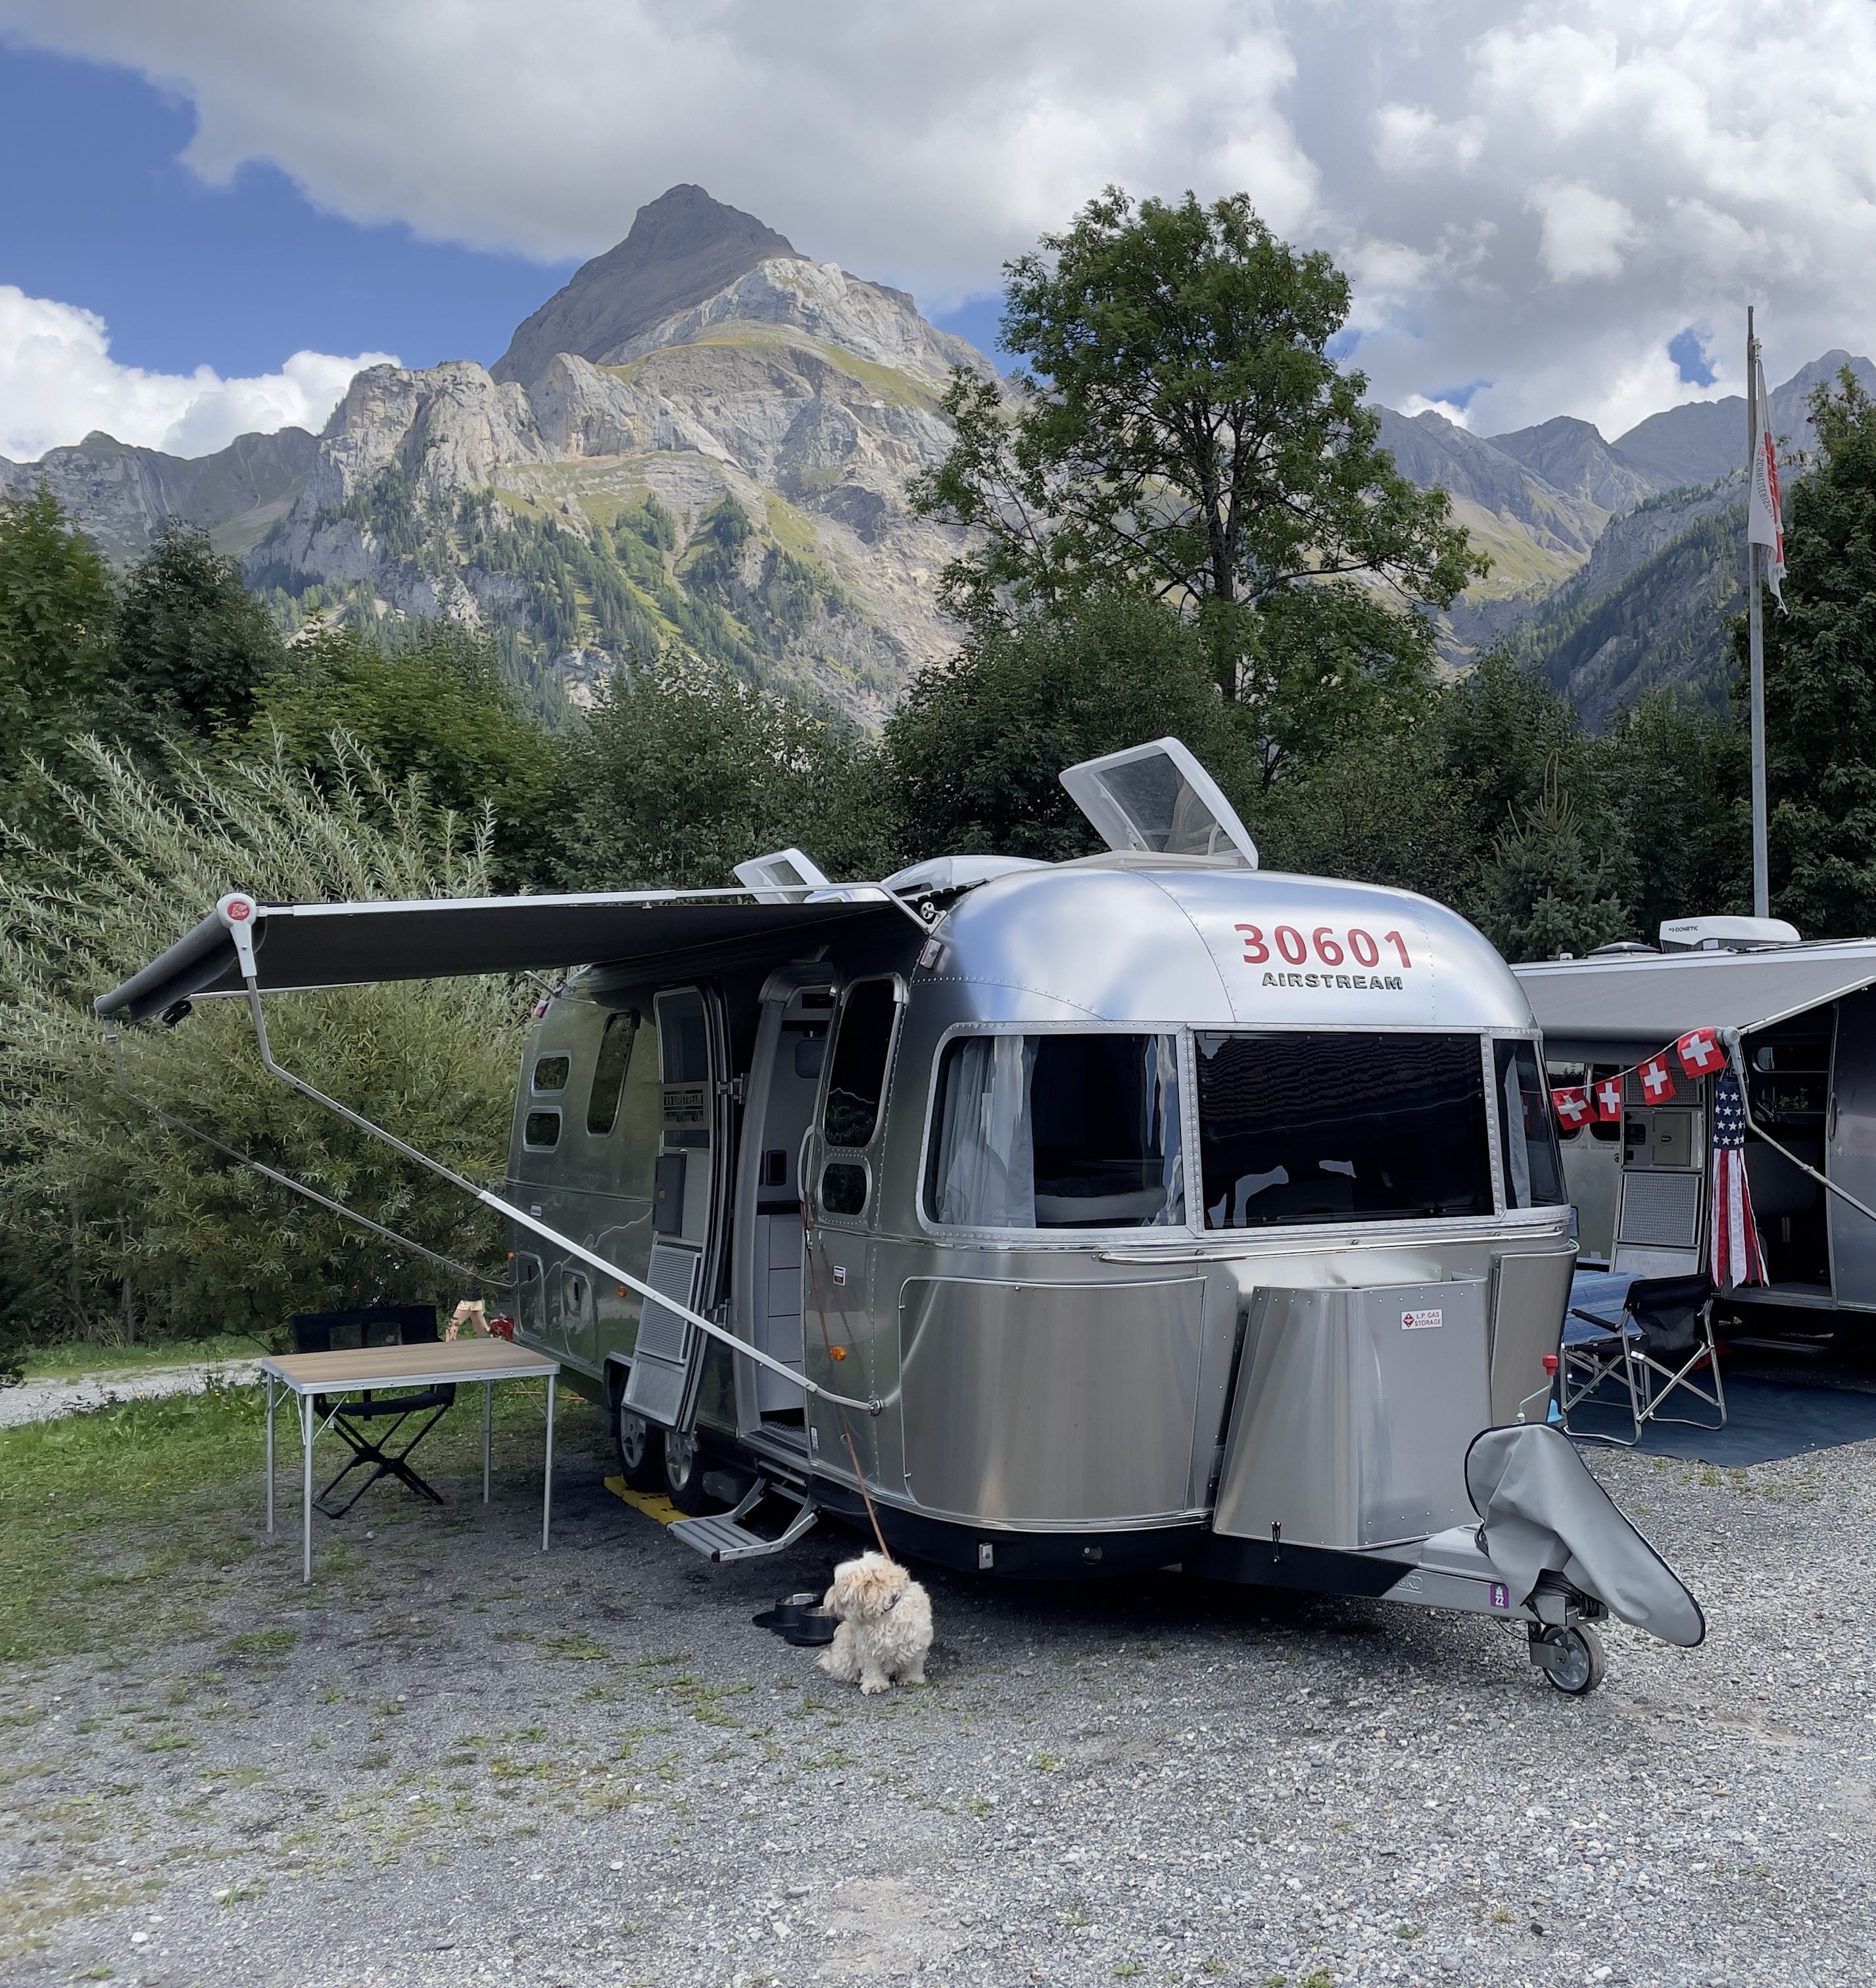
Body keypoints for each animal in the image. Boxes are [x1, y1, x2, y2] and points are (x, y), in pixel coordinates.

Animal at [815, 1550, 933, 1694]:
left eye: (838, 1586)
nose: (826, 1598)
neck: (887, 1612)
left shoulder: (915, 1643)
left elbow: (913, 1664)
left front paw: (911, 1679)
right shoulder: (867, 1649)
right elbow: (872, 1668)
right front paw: (875, 1684)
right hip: (846, 1654)